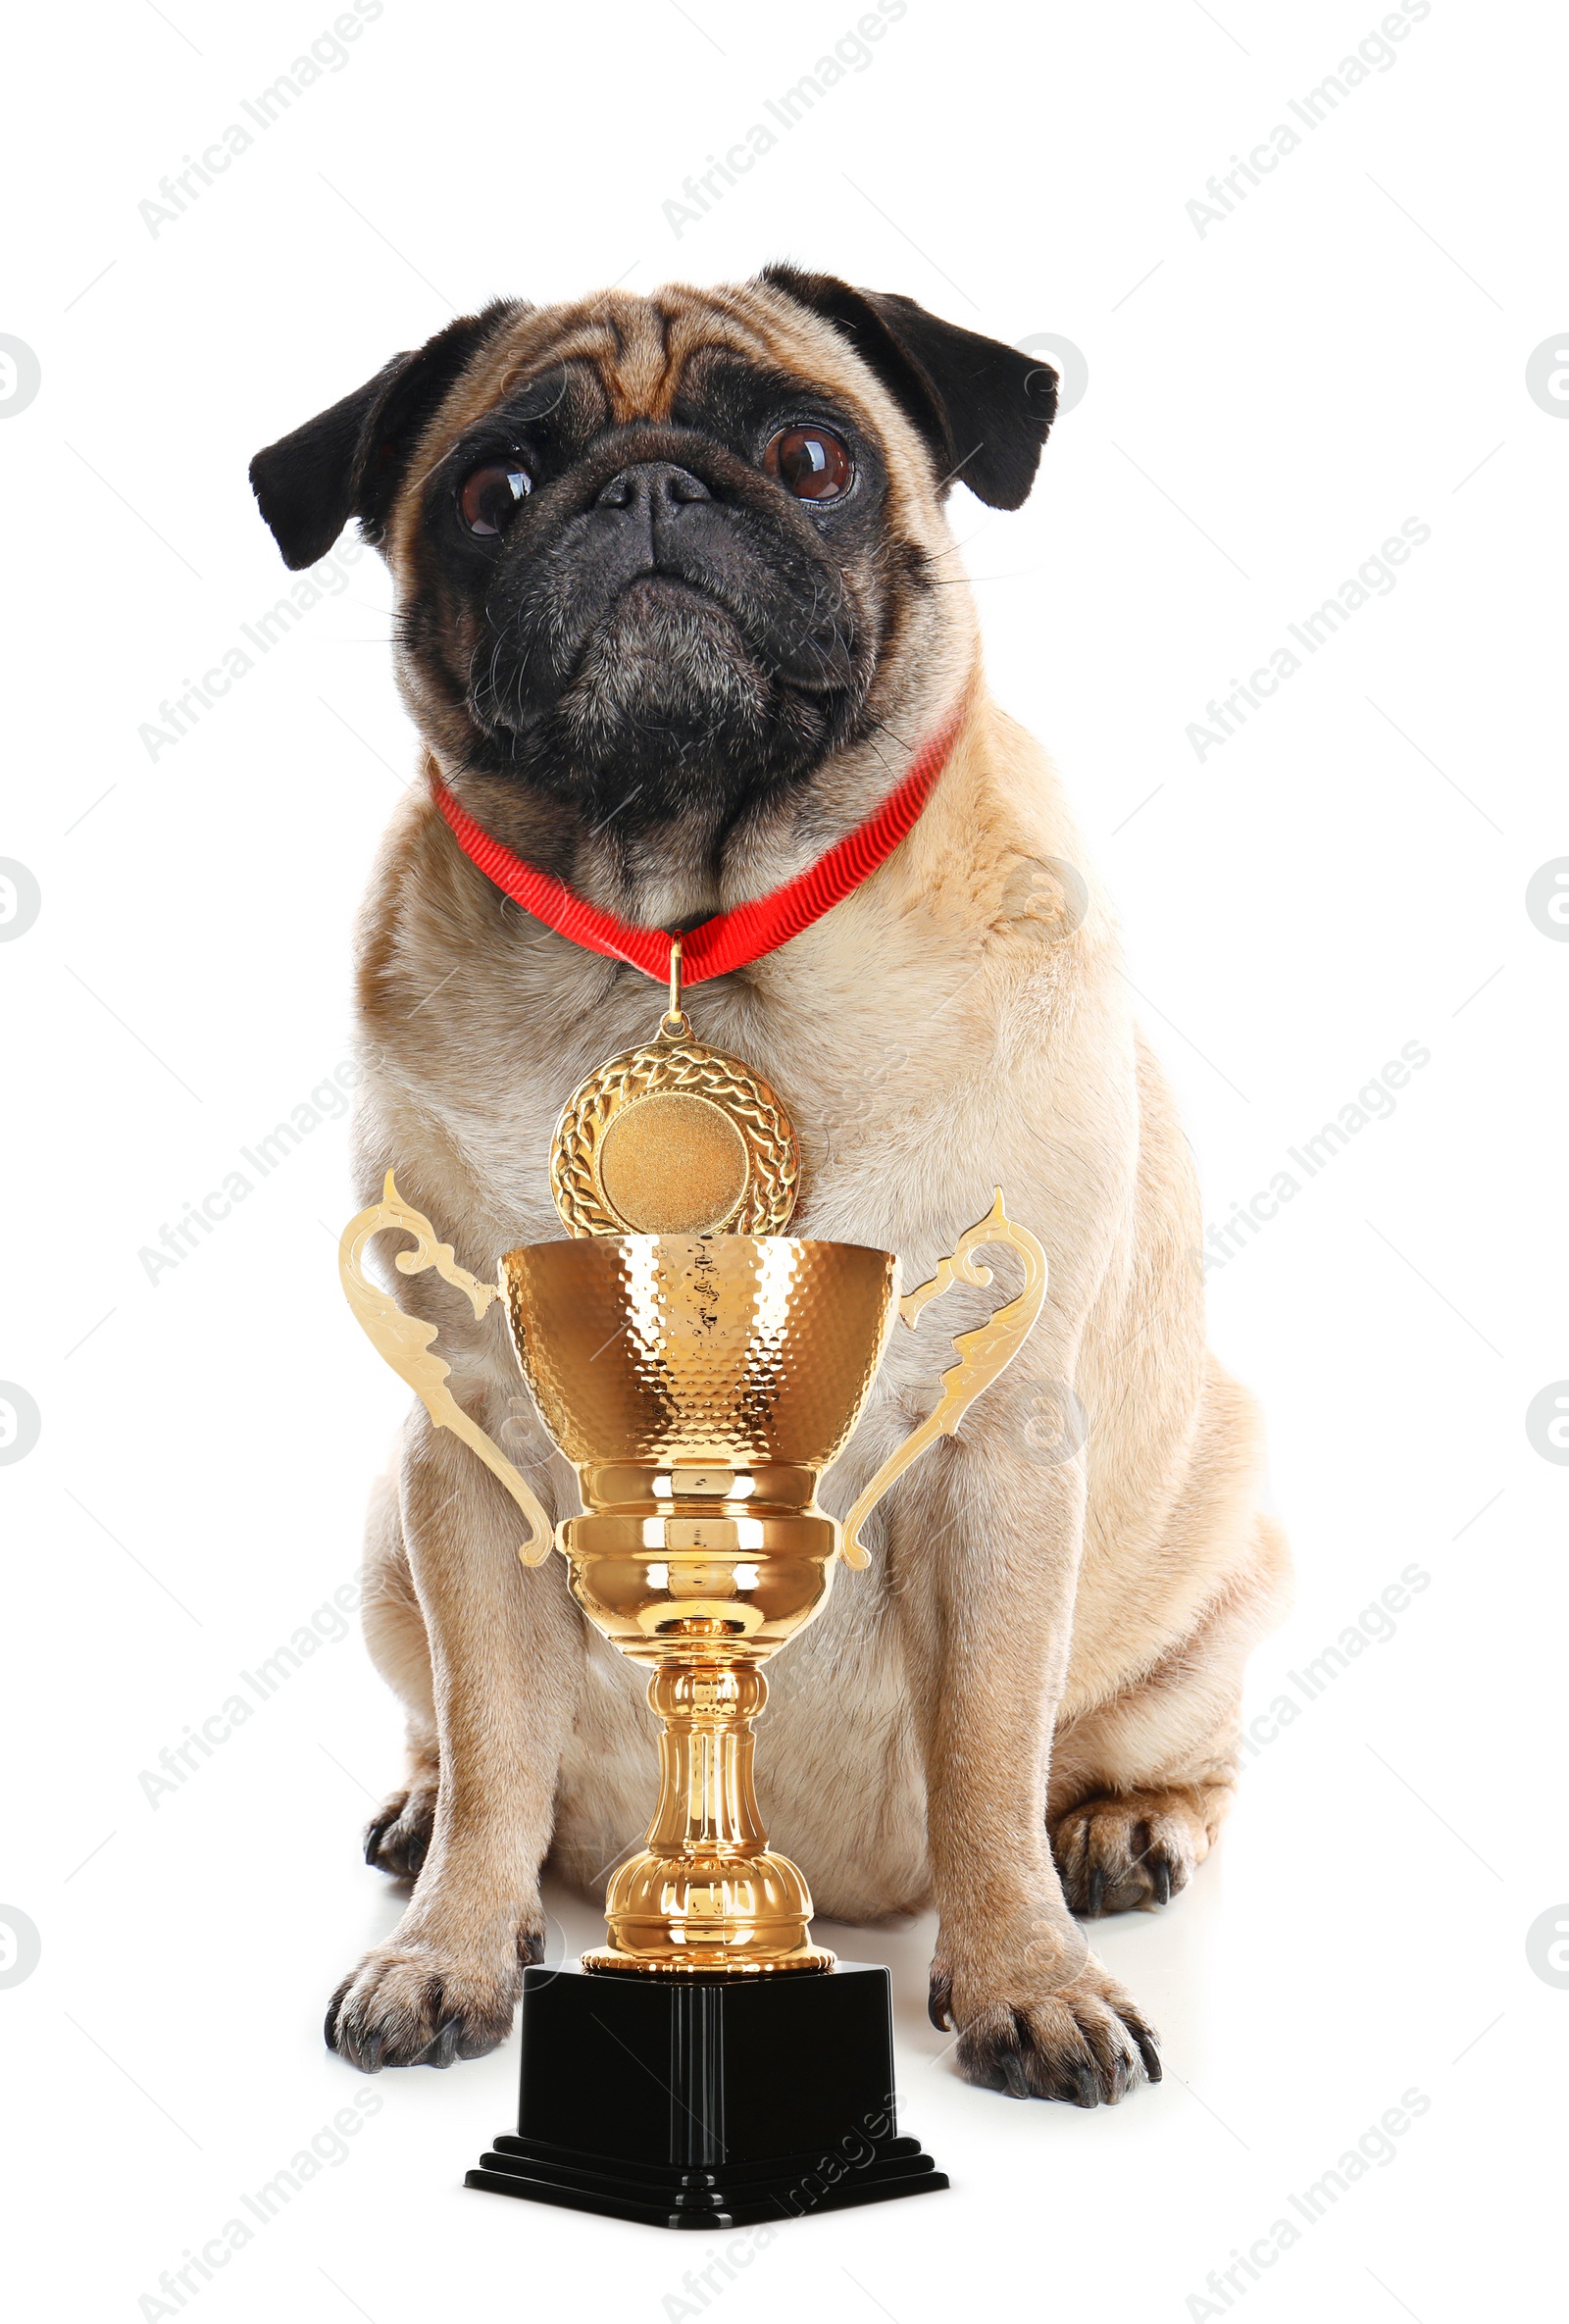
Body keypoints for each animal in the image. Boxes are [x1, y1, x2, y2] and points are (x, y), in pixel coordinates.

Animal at [254, 267, 1291, 2109]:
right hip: (390, 1548)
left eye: (812, 457)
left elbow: (989, 1746)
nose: (650, 487)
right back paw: (429, 1816)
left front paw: (1027, 1976)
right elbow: (502, 1735)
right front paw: (453, 1948)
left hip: (1213, 1551)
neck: (684, 928)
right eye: (494, 489)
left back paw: (1123, 1830)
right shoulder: (471, 1459)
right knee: (458, 1732)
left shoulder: (1004, 1456)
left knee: (1138, 1747)